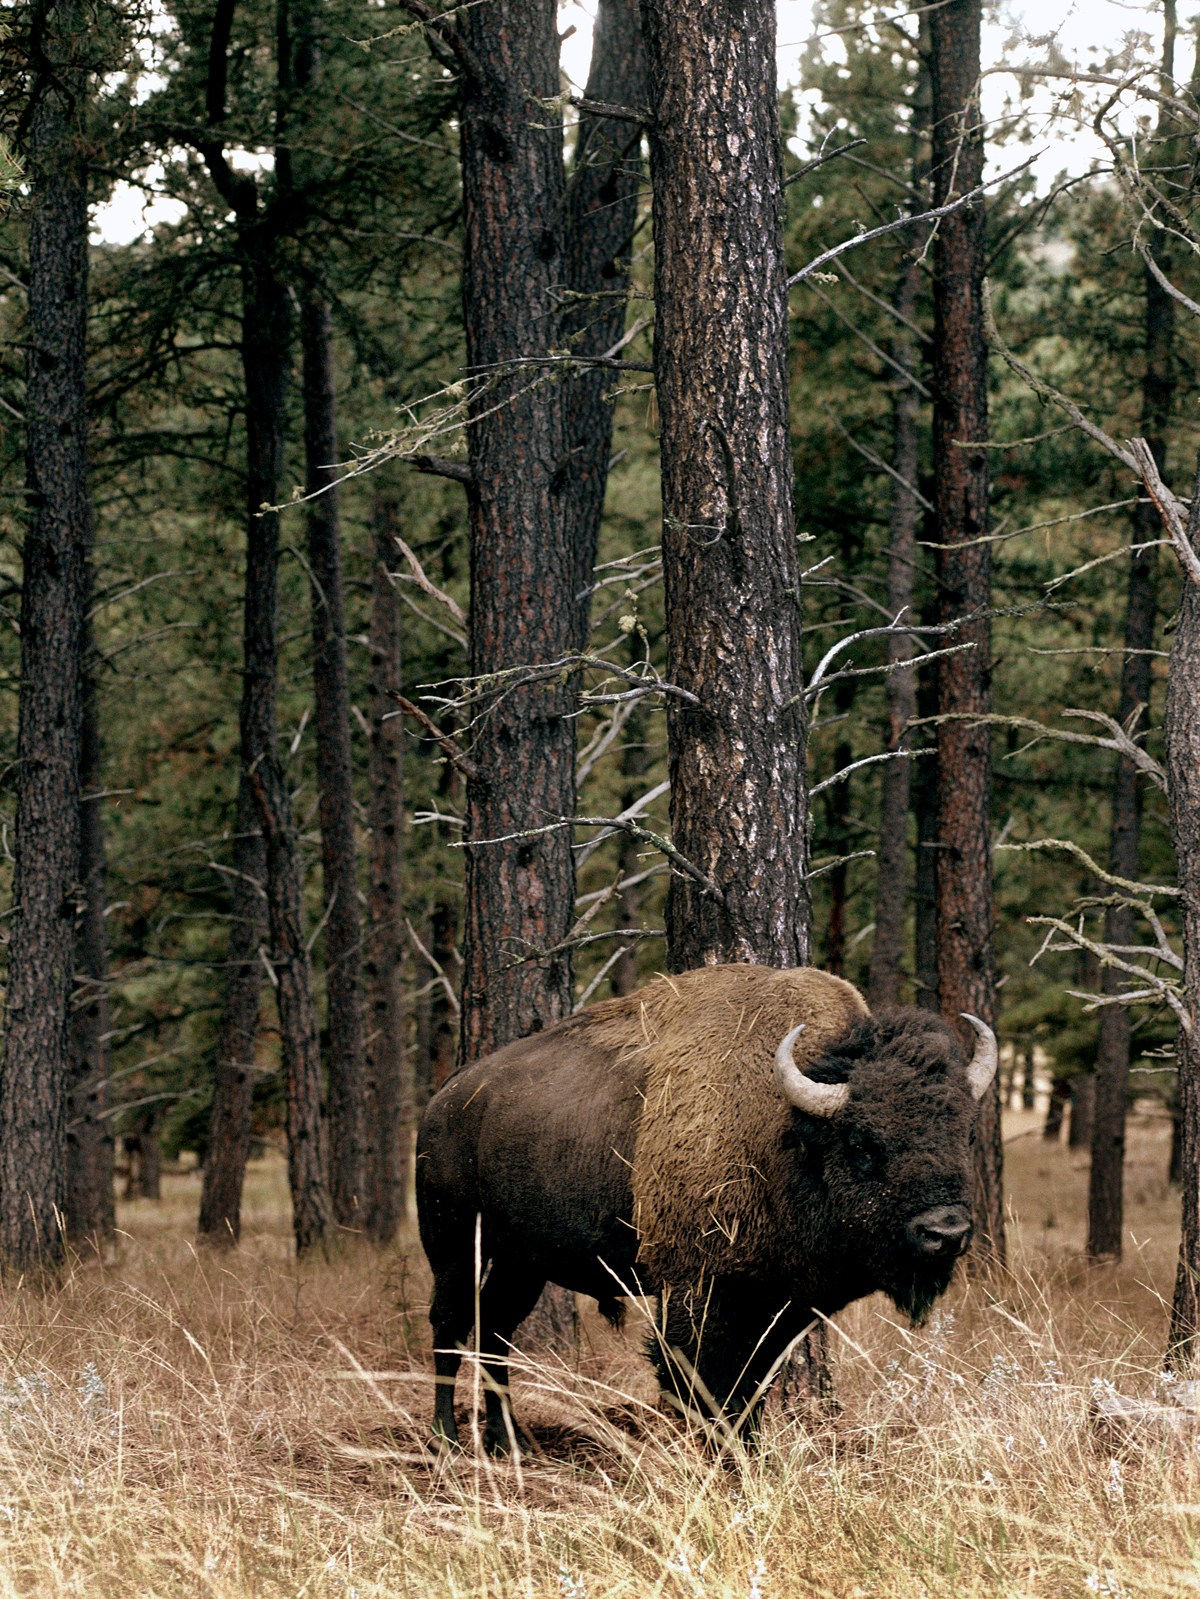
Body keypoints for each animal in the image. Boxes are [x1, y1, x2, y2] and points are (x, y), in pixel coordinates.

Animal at [416, 963, 997, 1451]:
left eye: (968, 1133)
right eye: (861, 1142)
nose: (945, 1232)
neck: (786, 1136)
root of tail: (445, 1097)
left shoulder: (778, 1306)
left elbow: (751, 1386)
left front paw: (752, 1456)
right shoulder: (695, 1294)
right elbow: (704, 1385)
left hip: (523, 1261)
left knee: (495, 1329)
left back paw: (507, 1441)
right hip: (453, 1245)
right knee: (449, 1326)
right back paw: (447, 1438)